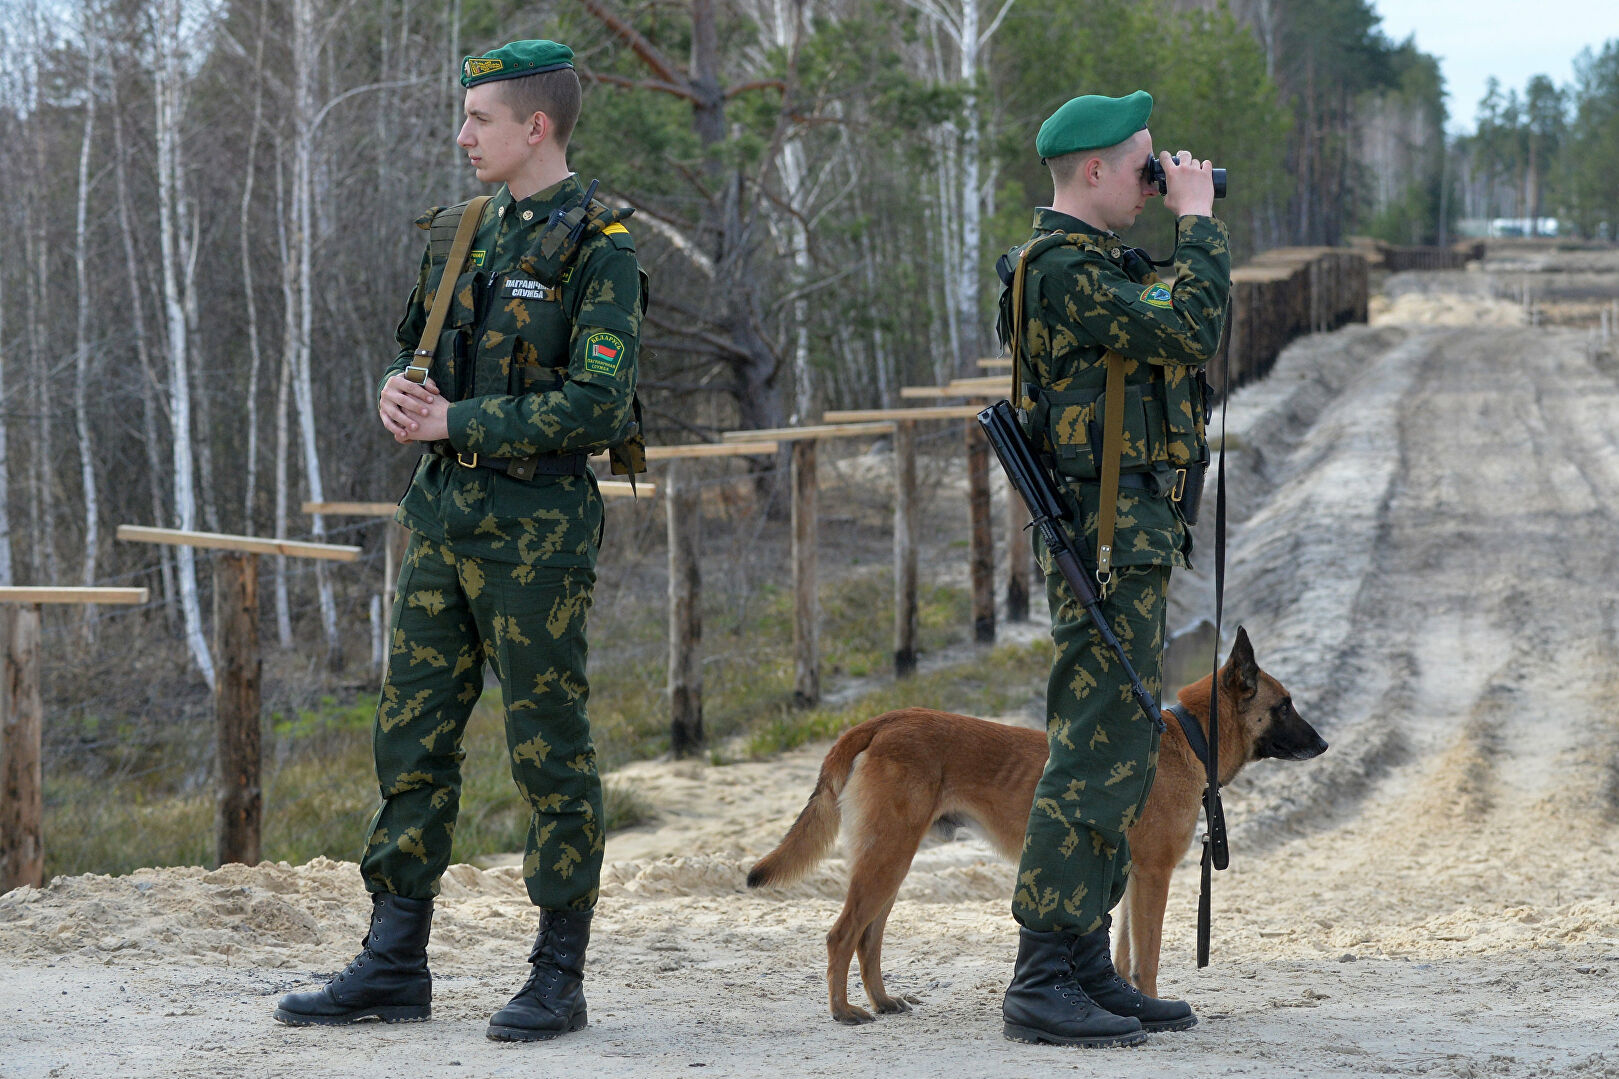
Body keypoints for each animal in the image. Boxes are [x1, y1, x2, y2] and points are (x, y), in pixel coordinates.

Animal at [744, 622, 1327, 1017]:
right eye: (1285, 705)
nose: (1324, 744)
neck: (1188, 739)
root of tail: (883, 720)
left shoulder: (1131, 877)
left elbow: (1122, 954)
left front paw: (1127, 1002)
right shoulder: (1155, 876)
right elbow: (1149, 955)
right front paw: (1154, 1005)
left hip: (891, 863)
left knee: (868, 938)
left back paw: (883, 1002)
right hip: (886, 860)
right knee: (841, 935)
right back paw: (843, 1012)